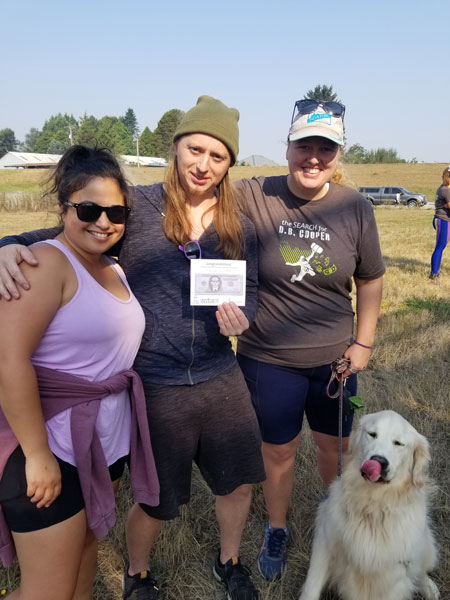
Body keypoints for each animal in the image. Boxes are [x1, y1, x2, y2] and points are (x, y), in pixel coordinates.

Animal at [299, 410, 439, 600]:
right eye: (372, 434)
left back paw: (429, 587)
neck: (373, 505)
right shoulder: (325, 543)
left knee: (420, 569)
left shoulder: (395, 575)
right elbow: (311, 588)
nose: (379, 461)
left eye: (398, 443)